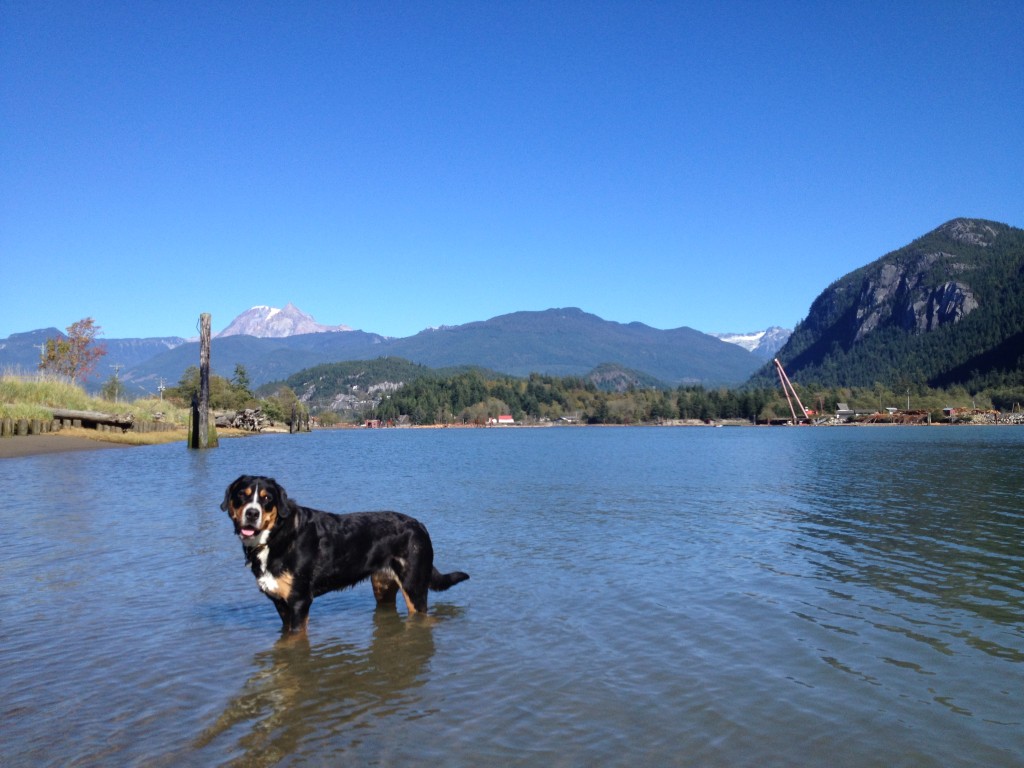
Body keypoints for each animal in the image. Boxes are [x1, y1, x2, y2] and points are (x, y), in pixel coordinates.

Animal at [222, 479, 468, 634]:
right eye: (241, 496)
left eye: (267, 499)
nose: (252, 513)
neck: (275, 537)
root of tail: (420, 525)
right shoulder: (281, 603)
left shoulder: (299, 601)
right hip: (383, 588)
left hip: (414, 589)